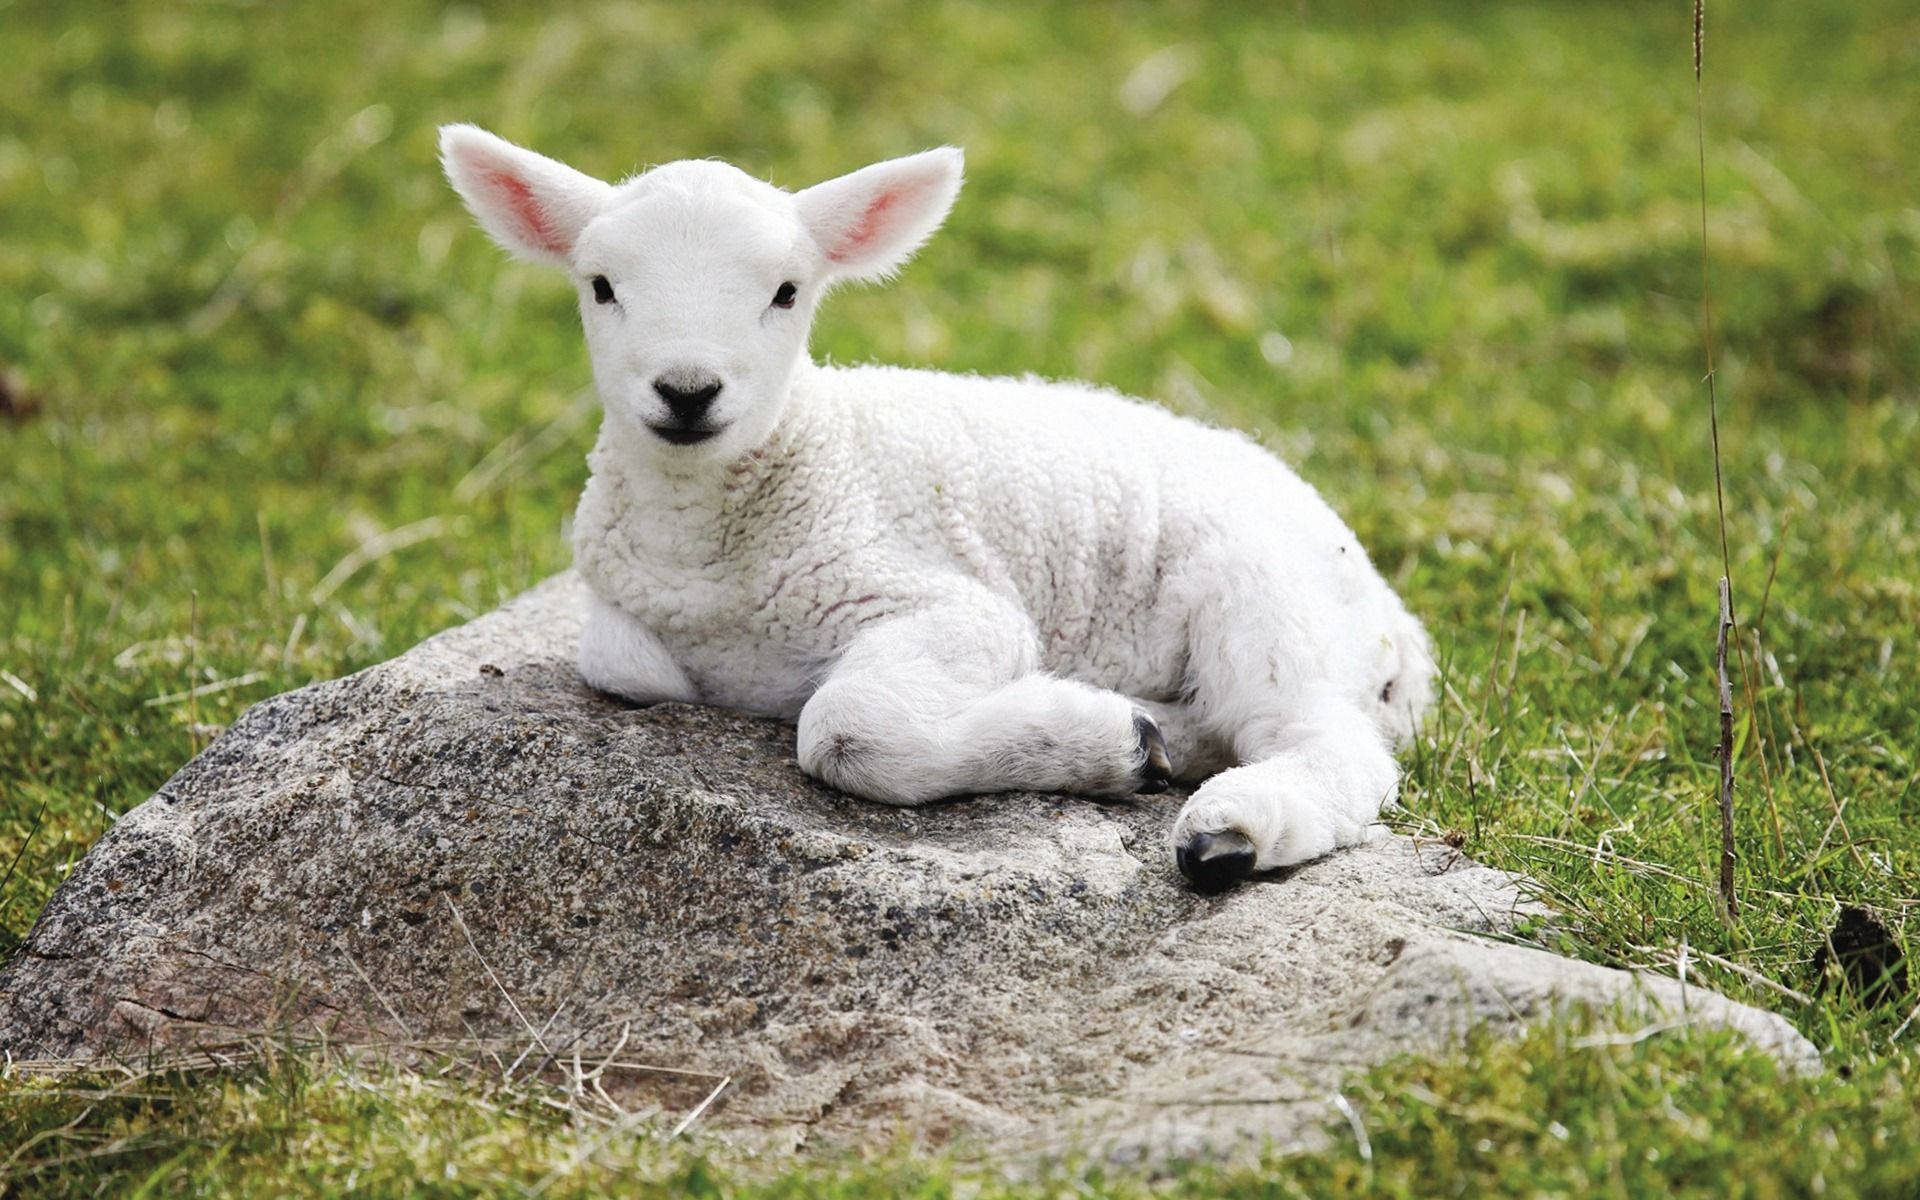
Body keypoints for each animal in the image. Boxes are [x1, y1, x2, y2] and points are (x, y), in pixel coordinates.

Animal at [439, 126, 1428, 890]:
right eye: (601, 286)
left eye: (786, 293)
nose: (687, 392)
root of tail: (1399, 625)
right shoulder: (626, 623)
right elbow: (623, 662)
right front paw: (1113, 737)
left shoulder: (947, 604)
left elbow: (845, 728)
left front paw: (1086, 740)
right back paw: (1155, 738)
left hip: (1267, 592)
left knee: (1324, 738)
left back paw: (1231, 832)